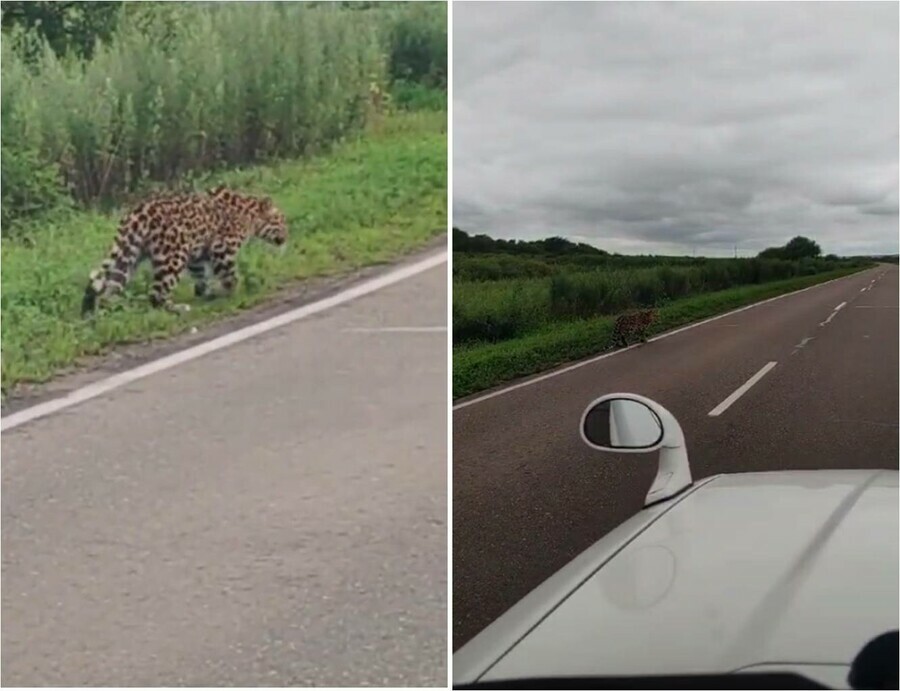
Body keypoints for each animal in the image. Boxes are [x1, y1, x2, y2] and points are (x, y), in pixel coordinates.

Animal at [81, 182, 286, 314]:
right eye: (281, 220)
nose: (286, 237)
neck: (249, 214)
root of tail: (137, 213)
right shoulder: (222, 248)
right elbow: (230, 275)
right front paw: (231, 293)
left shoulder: (197, 257)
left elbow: (201, 276)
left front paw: (206, 293)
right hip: (173, 257)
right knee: (156, 294)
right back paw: (177, 308)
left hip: (130, 254)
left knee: (111, 285)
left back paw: (110, 311)